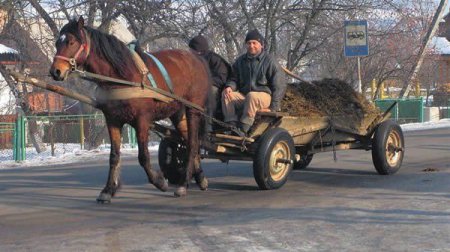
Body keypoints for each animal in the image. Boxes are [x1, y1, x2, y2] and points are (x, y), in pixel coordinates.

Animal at [50, 16, 212, 202]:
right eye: (57, 43)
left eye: (71, 42)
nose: (55, 71)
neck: (122, 76)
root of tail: (197, 60)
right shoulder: (113, 120)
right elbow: (114, 156)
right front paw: (108, 190)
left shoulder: (142, 120)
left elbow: (143, 156)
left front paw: (159, 181)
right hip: (177, 113)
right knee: (190, 142)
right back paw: (200, 177)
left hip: (193, 110)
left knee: (192, 144)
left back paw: (183, 184)